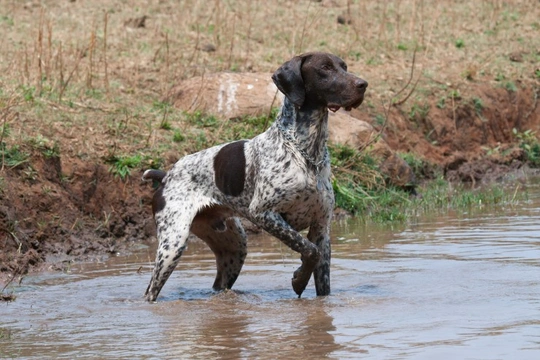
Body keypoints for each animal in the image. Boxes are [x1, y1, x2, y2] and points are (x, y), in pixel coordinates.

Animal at [141, 52, 368, 302]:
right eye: (325, 67)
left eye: (344, 67)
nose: (363, 85)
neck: (306, 153)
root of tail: (166, 175)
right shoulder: (264, 214)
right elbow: (309, 250)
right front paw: (299, 279)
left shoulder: (321, 228)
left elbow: (319, 269)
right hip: (172, 244)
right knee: (150, 290)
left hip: (235, 248)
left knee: (220, 283)